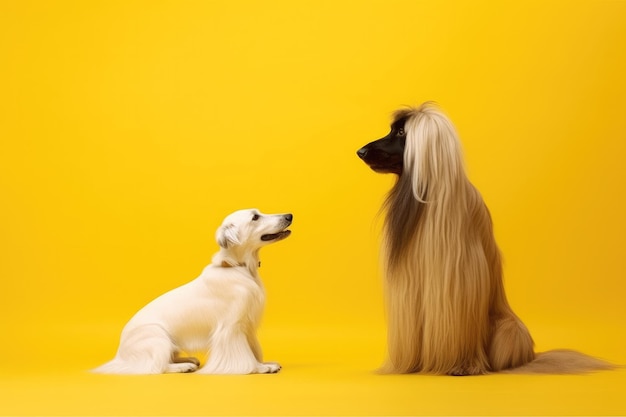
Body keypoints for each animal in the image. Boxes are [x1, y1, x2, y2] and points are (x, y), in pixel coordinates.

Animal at [91, 208, 292, 374]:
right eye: (255, 217)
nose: (289, 216)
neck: (237, 267)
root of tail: (120, 355)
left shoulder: (247, 325)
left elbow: (253, 350)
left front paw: (263, 363)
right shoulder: (231, 328)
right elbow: (245, 355)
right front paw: (260, 368)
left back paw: (188, 360)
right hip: (158, 338)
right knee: (157, 366)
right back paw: (183, 366)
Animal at [356, 101, 608, 374]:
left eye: (401, 133)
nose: (361, 151)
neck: (428, 197)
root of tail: (532, 356)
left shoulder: (458, 281)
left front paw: (462, 365)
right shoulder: (411, 285)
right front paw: (410, 365)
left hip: (509, 330)